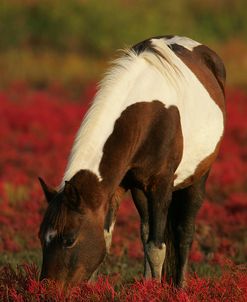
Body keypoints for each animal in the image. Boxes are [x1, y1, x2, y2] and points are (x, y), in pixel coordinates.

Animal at [38, 35, 226, 288]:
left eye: (69, 239)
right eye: (41, 237)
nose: (46, 288)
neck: (147, 113)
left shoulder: (161, 187)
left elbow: (157, 248)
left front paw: (156, 290)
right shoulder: (116, 188)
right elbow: (109, 240)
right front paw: (93, 289)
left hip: (198, 178)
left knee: (184, 233)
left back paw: (180, 286)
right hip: (139, 190)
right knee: (145, 231)